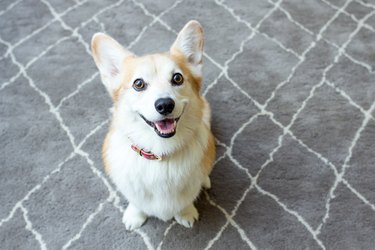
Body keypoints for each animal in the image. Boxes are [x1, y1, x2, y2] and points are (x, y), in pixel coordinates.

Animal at [89, 20, 216, 229]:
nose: (165, 105)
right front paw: (135, 216)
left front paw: (186, 213)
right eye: (138, 84)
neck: (160, 152)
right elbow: (136, 202)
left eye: (177, 78)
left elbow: (187, 199)